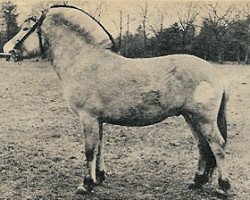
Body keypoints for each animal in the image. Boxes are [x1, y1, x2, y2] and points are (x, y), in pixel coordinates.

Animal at [10, 5, 231, 195]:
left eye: (25, 28)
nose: (9, 50)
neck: (84, 60)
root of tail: (215, 73)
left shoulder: (88, 118)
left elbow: (89, 150)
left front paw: (85, 184)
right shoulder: (97, 120)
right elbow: (99, 148)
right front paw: (98, 178)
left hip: (204, 119)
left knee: (217, 146)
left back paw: (223, 187)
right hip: (190, 117)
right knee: (202, 146)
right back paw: (197, 181)